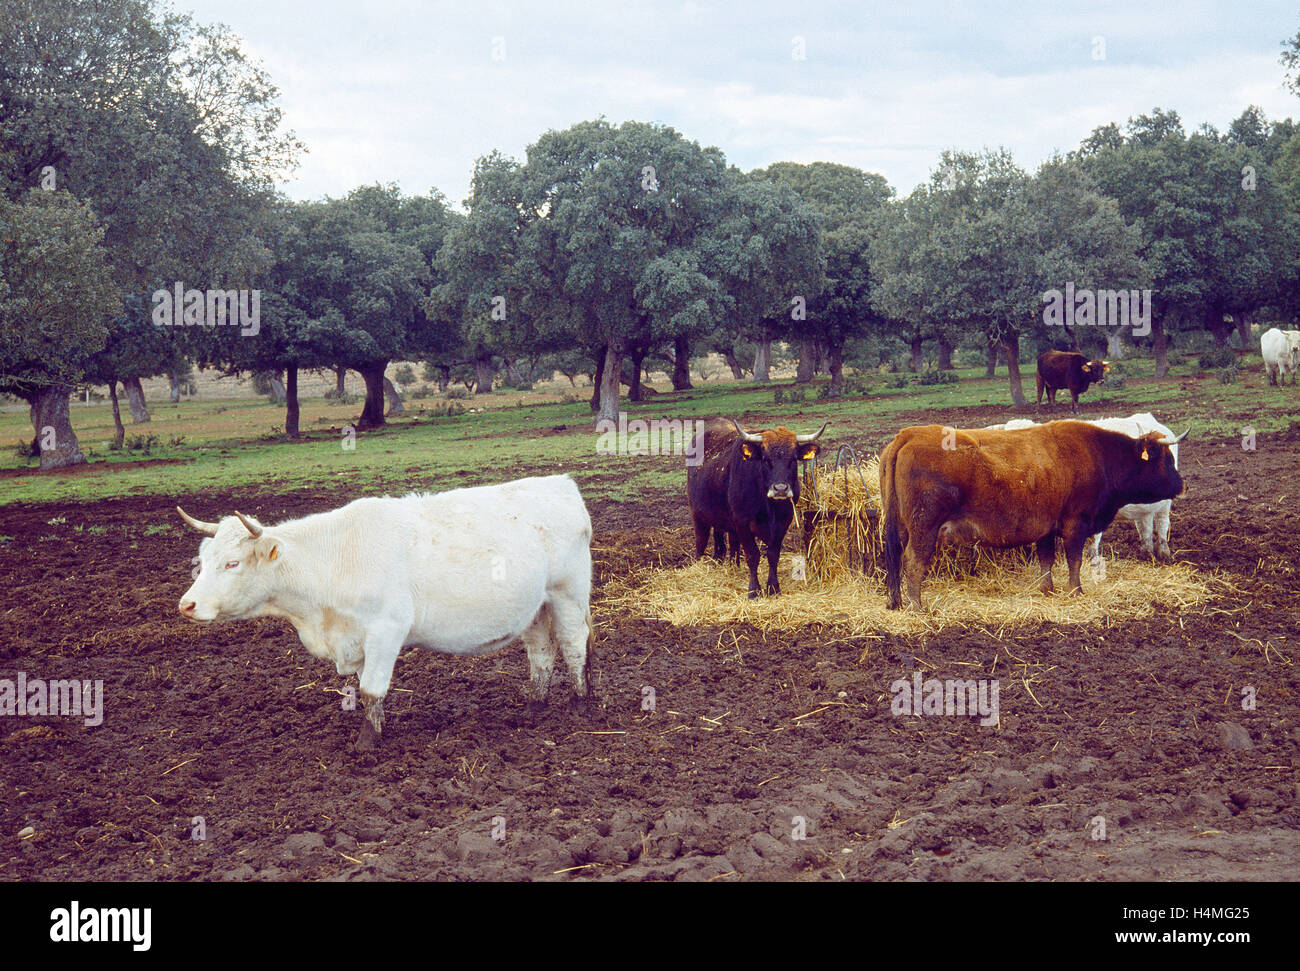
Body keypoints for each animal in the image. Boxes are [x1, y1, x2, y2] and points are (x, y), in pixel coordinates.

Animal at [178, 475, 595, 753]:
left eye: (232, 563)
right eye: (203, 558)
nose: (187, 605)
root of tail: (559, 483)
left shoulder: (386, 630)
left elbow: (370, 688)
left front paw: (366, 744)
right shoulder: (358, 639)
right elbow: (368, 693)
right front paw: (378, 729)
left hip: (567, 593)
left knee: (574, 644)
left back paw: (579, 703)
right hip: (535, 606)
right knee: (542, 653)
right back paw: (534, 706)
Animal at [686, 418, 826, 595]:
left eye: (793, 459)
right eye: (765, 459)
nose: (780, 489)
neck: (769, 507)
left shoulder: (783, 524)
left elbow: (773, 555)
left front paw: (773, 587)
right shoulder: (742, 523)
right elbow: (753, 555)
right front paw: (754, 590)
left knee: (726, 543)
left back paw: (732, 566)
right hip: (697, 515)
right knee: (701, 541)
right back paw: (699, 565)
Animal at [977, 413, 1185, 566]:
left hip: (1165, 503)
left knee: (1162, 523)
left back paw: (1164, 553)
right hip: (1146, 507)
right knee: (1145, 525)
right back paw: (1146, 552)